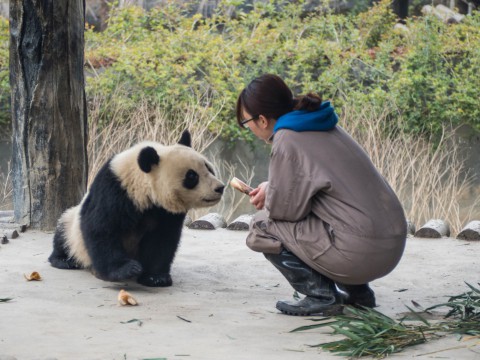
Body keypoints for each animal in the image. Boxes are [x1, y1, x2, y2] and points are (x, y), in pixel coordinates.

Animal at [47, 130, 224, 286]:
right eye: (192, 176)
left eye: (209, 168)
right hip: (72, 226)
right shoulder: (114, 189)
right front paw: (125, 270)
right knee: (63, 233)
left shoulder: (165, 212)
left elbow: (162, 238)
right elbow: (101, 228)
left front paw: (155, 277)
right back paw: (63, 260)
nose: (220, 188)